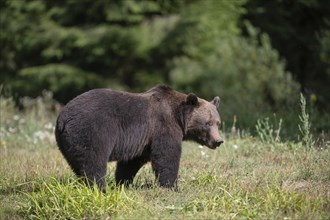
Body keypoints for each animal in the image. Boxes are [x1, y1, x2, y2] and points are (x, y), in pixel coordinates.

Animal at [55, 85, 223, 192]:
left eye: (218, 123)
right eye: (207, 123)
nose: (218, 141)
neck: (179, 117)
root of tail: (63, 118)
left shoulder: (143, 140)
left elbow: (131, 162)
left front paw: (123, 182)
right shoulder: (163, 126)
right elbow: (166, 156)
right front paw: (172, 187)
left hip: (69, 142)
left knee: (78, 164)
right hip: (92, 131)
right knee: (93, 162)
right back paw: (99, 188)